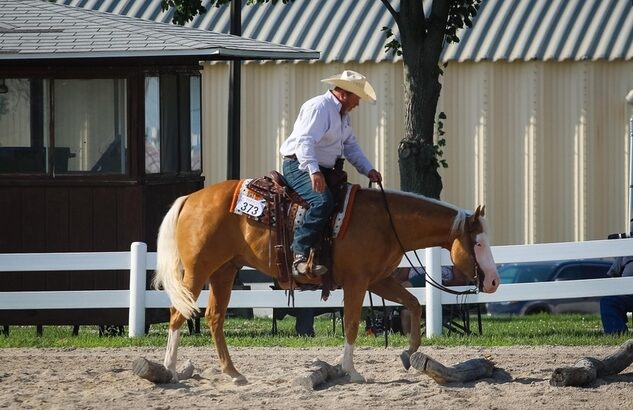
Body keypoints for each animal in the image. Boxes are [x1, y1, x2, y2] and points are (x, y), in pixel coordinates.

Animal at [153, 181, 498, 382]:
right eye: (479, 243)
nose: (494, 282)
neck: (386, 222)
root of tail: (190, 198)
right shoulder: (357, 282)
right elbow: (352, 323)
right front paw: (351, 370)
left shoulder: (378, 280)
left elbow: (413, 304)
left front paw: (408, 354)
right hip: (197, 270)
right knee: (177, 314)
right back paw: (169, 369)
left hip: (224, 271)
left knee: (214, 317)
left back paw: (233, 372)